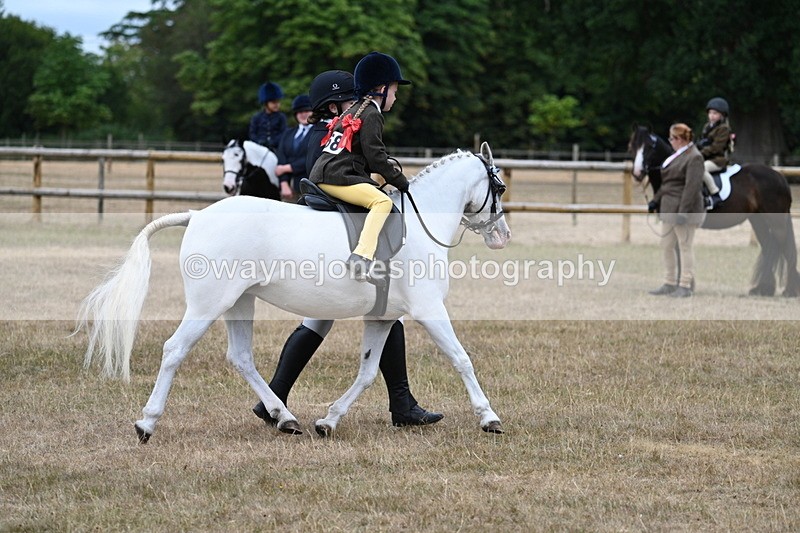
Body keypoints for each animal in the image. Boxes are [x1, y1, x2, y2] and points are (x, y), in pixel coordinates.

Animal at [78, 143, 511, 442]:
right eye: (499, 186)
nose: (503, 236)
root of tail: (197, 215)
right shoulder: (428, 309)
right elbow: (461, 358)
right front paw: (489, 417)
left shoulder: (383, 317)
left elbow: (368, 371)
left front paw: (329, 420)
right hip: (209, 303)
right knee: (174, 350)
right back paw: (147, 423)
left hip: (239, 302)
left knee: (241, 357)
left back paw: (283, 417)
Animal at [628, 124, 800, 297]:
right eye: (633, 146)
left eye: (650, 147)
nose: (637, 173)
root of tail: (779, 177)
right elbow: (677, 250)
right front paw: (680, 285)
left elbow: (681, 251)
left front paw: (684, 286)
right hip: (758, 221)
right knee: (768, 247)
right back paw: (763, 289)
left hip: (777, 222)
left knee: (785, 248)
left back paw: (790, 290)